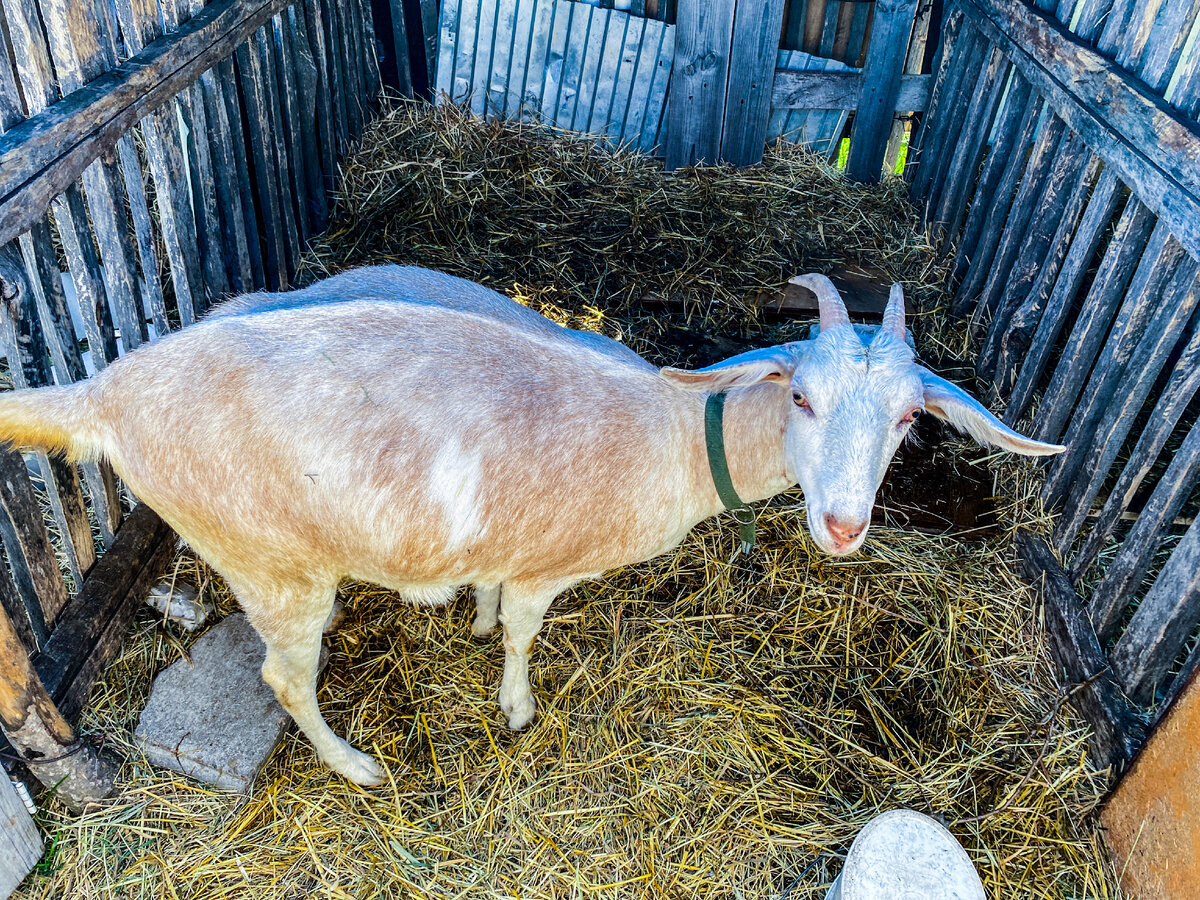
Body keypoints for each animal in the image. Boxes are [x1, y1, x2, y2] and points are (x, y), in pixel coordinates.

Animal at [0, 264, 1065, 787]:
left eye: (910, 419)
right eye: (800, 396)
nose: (844, 525)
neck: (677, 434)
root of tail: (108, 395)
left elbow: (487, 594)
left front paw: (468, 615)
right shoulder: (552, 563)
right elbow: (521, 631)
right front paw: (514, 705)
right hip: (269, 558)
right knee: (284, 678)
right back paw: (356, 767)